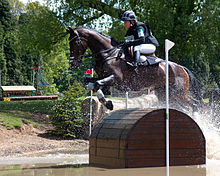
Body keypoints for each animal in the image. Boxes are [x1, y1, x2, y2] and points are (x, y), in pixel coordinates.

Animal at [65, 25, 203, 111]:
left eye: (75, 43)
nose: (72, 64)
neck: (108, 53)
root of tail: (181, 68)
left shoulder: (116, 79)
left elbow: (97, 84)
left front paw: (108, 102)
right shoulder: (102, 76)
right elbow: (91, 83)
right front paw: (107, 103)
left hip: (178, 93)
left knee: (195, 105)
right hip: (167, 94)